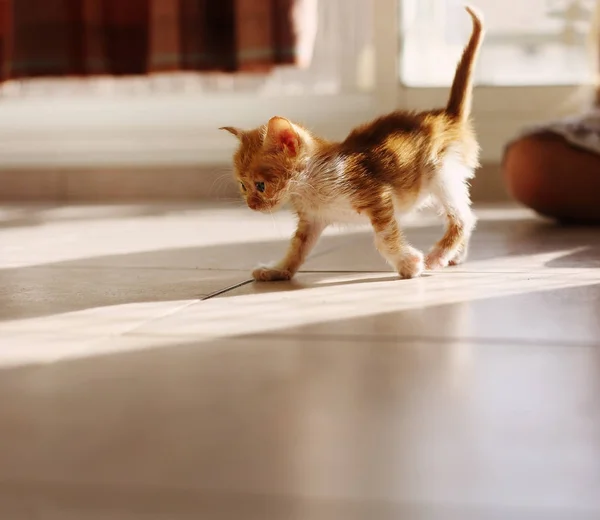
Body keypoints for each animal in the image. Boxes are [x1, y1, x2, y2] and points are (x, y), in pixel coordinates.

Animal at [223, 5, 486, 280]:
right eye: (243, 186)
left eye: (260, 185)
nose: (252, 206)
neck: (310, 186)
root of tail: (446, 116)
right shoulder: (312, 220)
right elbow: (297, 249)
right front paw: (277, 270)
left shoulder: (376, 195)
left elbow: (384, 237)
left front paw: (409, 264)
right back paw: (456, 256)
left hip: (441, 171)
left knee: (464, 218)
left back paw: (438, 256)